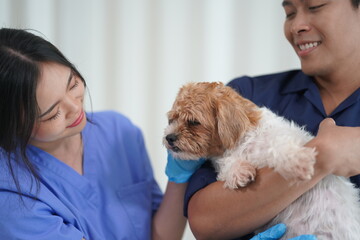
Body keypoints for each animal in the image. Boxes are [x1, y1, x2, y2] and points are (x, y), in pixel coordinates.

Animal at [162, 81, 360, 239]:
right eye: (171, 119)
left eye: (193, 122)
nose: (169, 137)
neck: (242, 144)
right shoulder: (223, 159)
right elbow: (227, 165)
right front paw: (238, 172)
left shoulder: (281, 139)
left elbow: (281, 148)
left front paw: (299, 161)